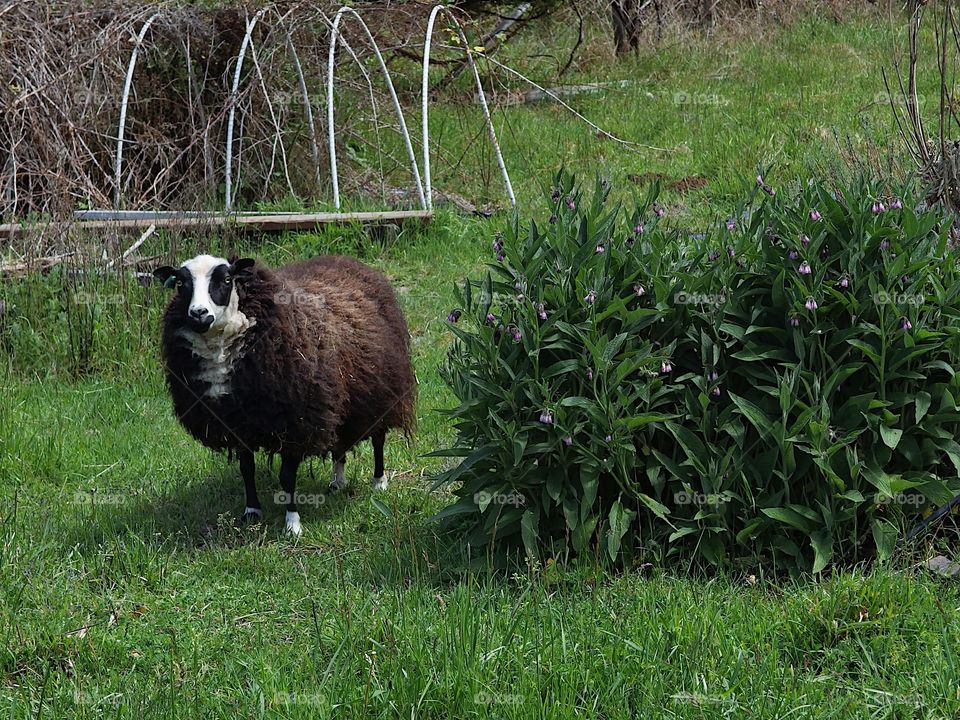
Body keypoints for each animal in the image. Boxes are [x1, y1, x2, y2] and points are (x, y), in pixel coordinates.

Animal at [154, 253, 416, 536]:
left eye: (225, 279)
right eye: (181, 283)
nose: (199, 314)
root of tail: (350, 261)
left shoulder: (295, 423)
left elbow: (286, 477)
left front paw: (292, 524)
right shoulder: (238, 423)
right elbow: (247, 469)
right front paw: (252, 512)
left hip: (381, 391)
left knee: (378, 437)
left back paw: (379, 481)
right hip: (342, 397)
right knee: (339, 442)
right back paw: (338, 481)